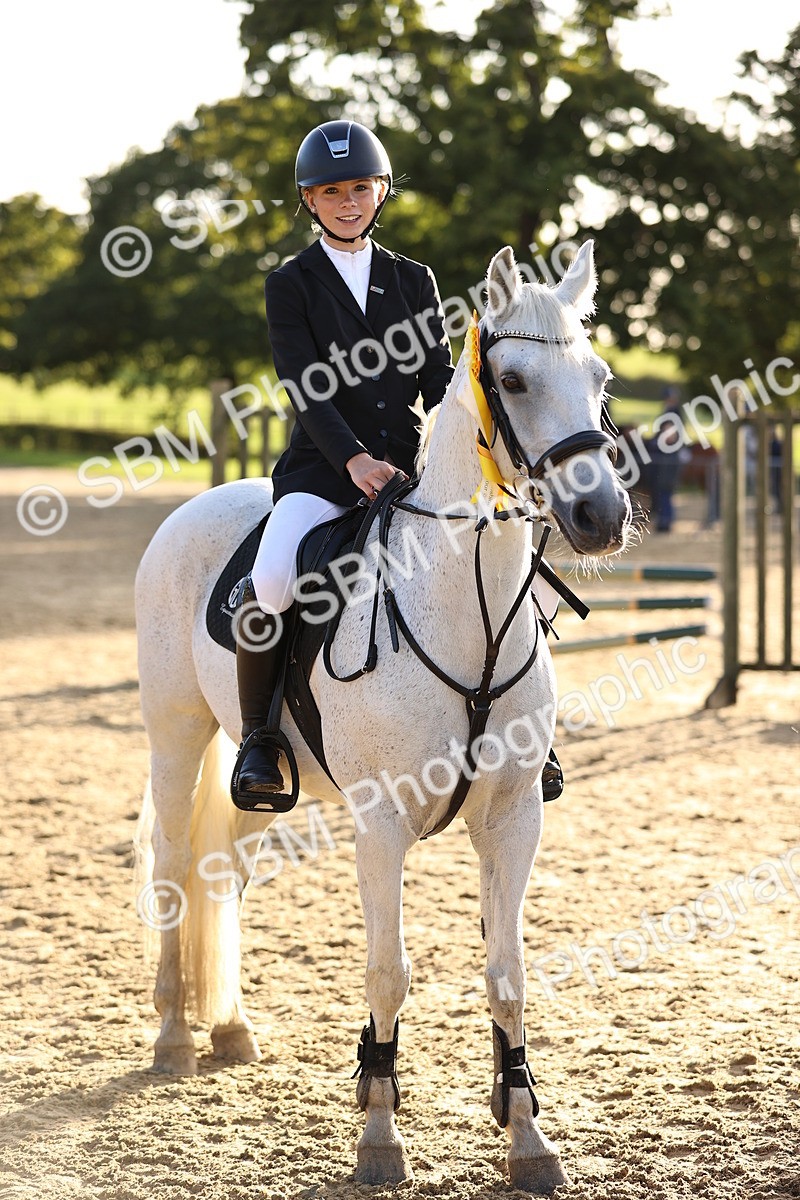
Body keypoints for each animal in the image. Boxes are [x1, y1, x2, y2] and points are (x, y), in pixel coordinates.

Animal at [134, 240, 631, 1194]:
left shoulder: (515, 816)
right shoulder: (381, 823)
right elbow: (388, 972)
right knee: (178, 870)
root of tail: (197, 504)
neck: (465, 606)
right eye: (513, 380)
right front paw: (378, 1135)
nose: (601, 516)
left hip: (261, 785)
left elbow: (508, 974)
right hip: (176, 734)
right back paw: (176, 1037)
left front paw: (527, 1137)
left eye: (600, 379)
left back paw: (231, 1031)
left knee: (225, 874)